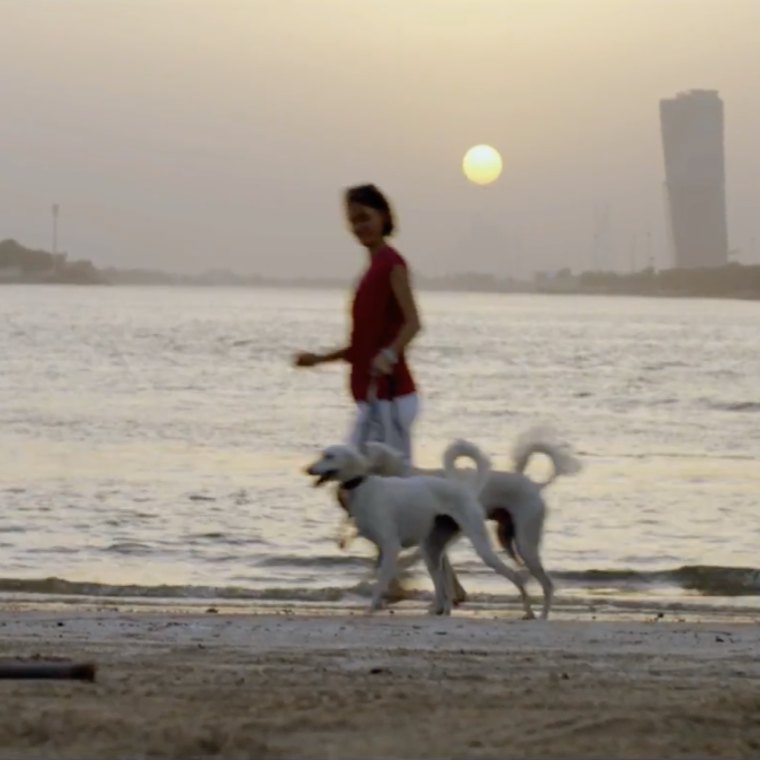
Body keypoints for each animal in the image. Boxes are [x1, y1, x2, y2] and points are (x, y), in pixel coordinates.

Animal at [304, 440, 536, 616]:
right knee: (443, 590)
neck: (362, 486)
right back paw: (442, 611)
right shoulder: (382, 550)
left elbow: (379, 582)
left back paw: (528, 611)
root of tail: (464, 489)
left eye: (329, 456)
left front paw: (370, 609)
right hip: (431, 550)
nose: (307, 469)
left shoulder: (391, 547)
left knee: (514, 576)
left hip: (478, 545)